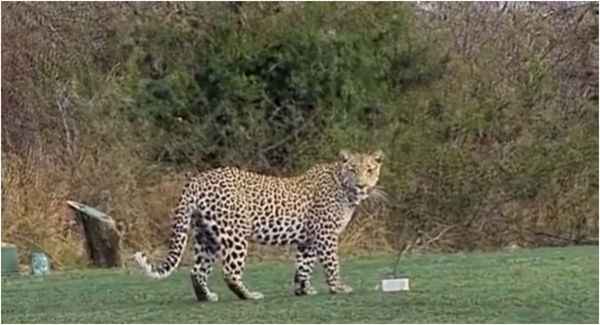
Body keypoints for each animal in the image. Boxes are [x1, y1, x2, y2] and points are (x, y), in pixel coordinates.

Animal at [134, 149, 382, 302]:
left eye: (370, 170)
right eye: (353, 169)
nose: (361, 185)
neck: (345, 188)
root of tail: (197, 179)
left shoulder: (309, 240)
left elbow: (304, 265)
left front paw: (302, 289)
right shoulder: (326, 236)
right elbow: (332, 264)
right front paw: (337, 287)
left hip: (207, 236)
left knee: (197, 271)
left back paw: (206, 296)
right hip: (235, 234)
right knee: (229, 272)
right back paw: (249, 295)